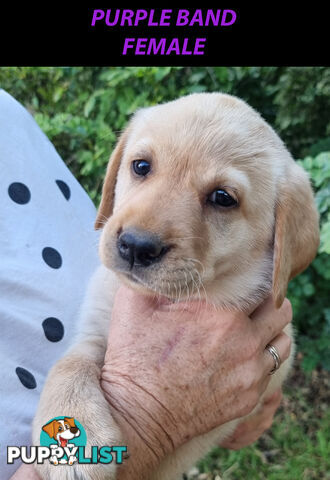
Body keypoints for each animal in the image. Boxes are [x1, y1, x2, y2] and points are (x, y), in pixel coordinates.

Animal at [33, 92, 320, 478]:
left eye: (223, 198)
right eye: (141, 166)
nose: (136, 246)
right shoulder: (94, 330)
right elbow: (70, 363)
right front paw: (72, 423)